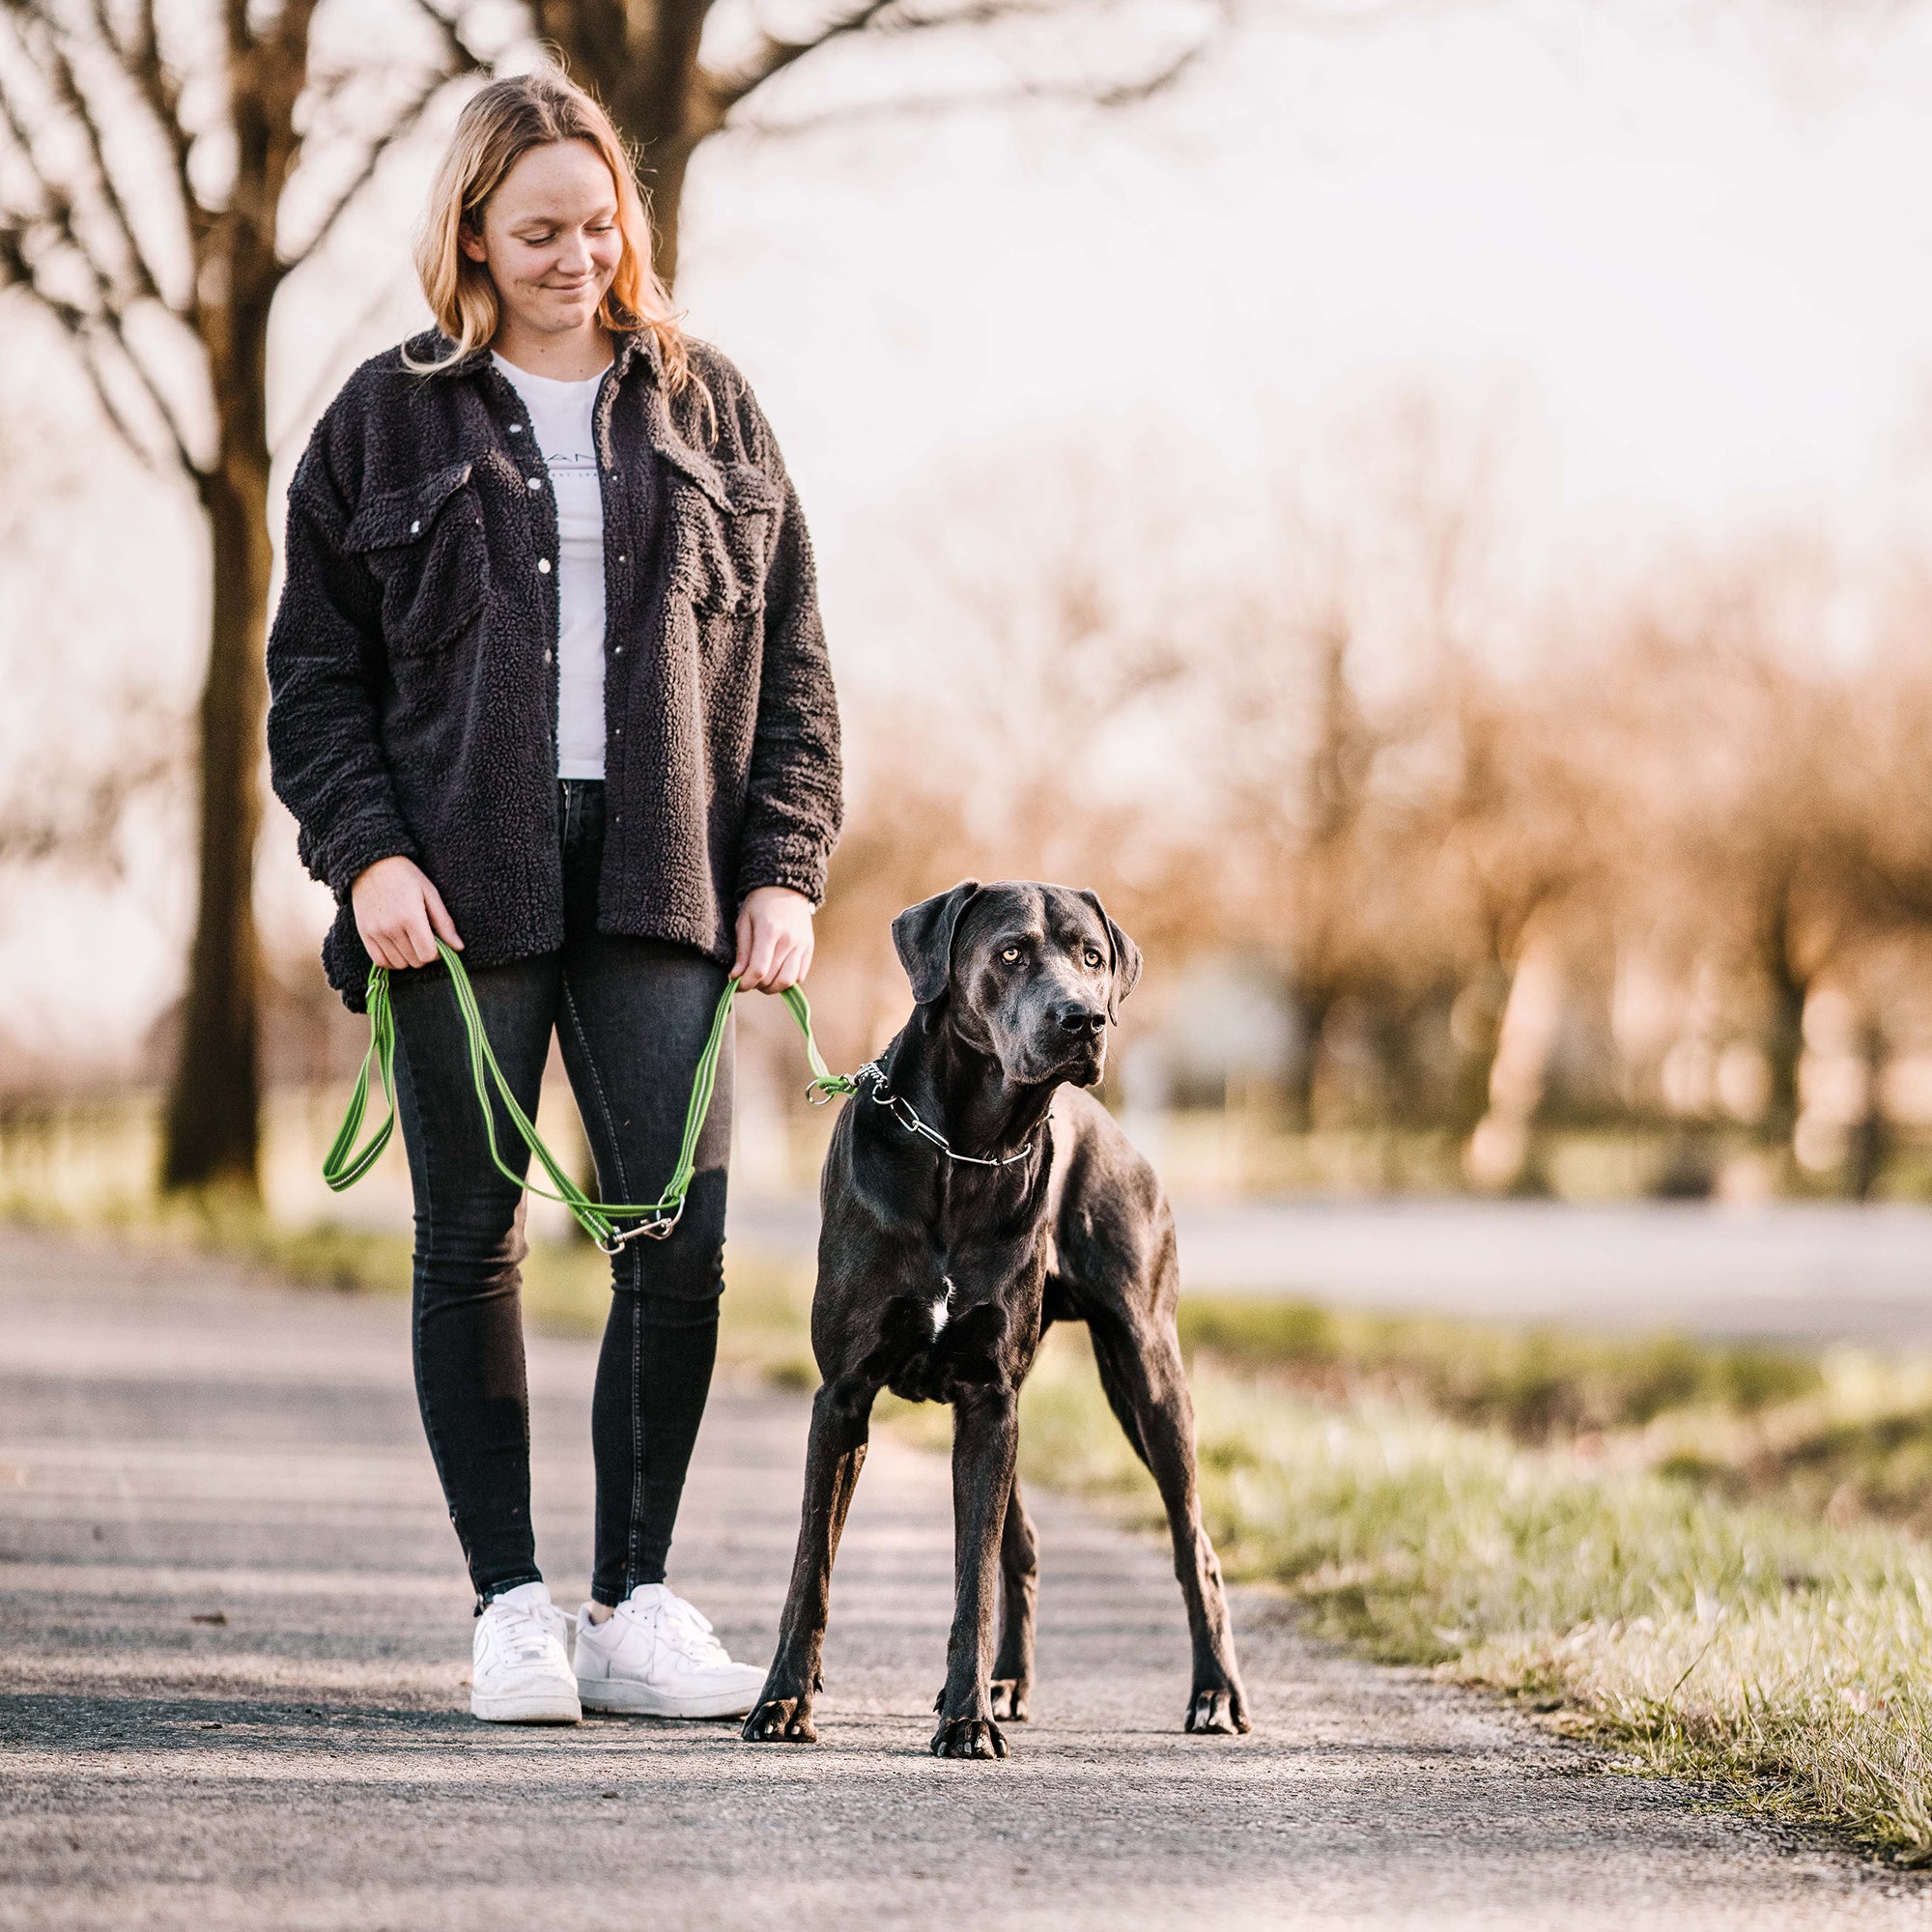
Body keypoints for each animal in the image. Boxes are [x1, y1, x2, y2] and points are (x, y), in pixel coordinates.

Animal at [738, 885, 1252, 1762]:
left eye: (1092, 957)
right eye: (1010, 952)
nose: (1085, 1019)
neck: (964, 1151)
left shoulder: (987, 1398)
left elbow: (969, 1579)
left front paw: (966, 1720)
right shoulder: (844, 1398)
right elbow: (812, 1568)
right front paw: (783, 1703)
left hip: (1145, 1374)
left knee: (1195, 1547)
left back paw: (1213, 1693)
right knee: (1027, 1540)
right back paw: (1007, 1683)